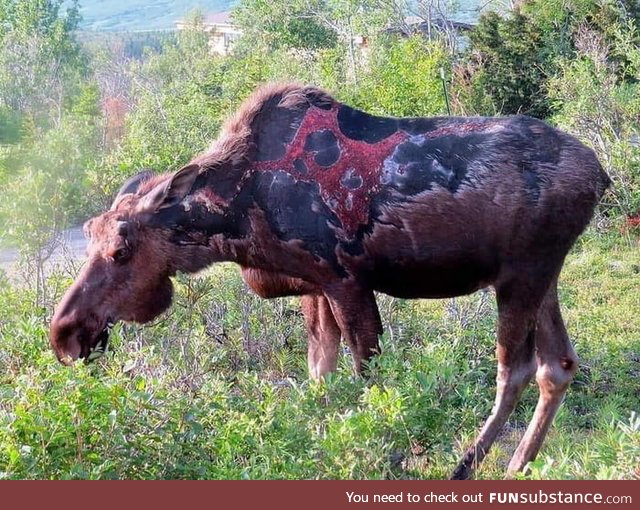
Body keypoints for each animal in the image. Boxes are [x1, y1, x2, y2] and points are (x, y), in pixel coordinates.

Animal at [50, 82, 608, 478]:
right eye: (88, 232)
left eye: (121, 249)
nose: (64, 333)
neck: (235, 216)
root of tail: (601, 175)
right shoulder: (314, 286)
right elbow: (321, 378)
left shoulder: (346, 280)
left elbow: (370, 380)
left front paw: (387, 457)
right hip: (542, 274)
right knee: (558, 364)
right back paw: (519, 465)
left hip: (520, 274)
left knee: (514, 370)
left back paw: (466, 468)